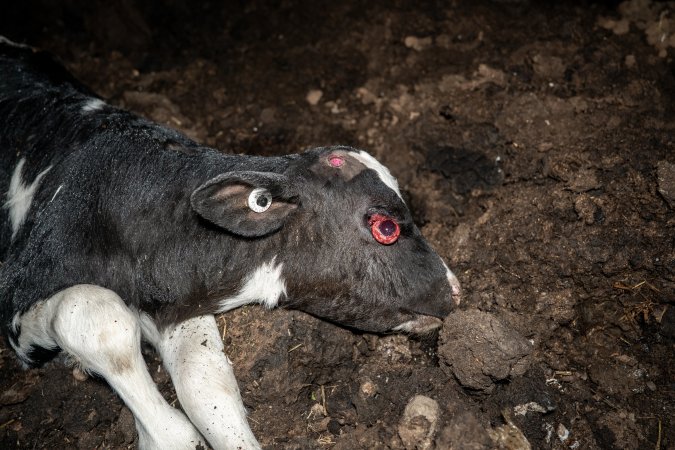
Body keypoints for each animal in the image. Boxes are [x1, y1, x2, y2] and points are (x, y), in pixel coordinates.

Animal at [0, 36, 461, 449]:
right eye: (386, 228)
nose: (456, 292)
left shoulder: (178, 300)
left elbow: (205, 384)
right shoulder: (20, 288)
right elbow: (95, 316)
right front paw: (163, 434)